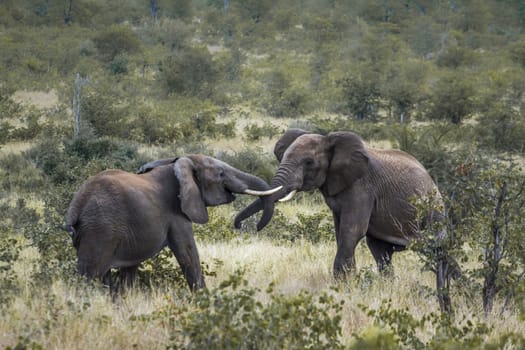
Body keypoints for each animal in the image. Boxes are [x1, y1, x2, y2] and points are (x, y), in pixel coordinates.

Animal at [64, 154, 282, 292]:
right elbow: (188, 255)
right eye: (220, 173)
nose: (240, 226)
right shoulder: (177, 214)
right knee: (90, 275)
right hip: (101, 228)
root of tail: (77, 204)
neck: (179, 163)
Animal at [235, 129, 460, 312]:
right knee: (381, 252)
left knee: (438, 250)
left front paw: (342, 288)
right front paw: (349, 284)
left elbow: (352, 232)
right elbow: (342, 233)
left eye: (309, 163)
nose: (239, 226)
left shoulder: (362, 187)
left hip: (433, 210)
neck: (329, 140)